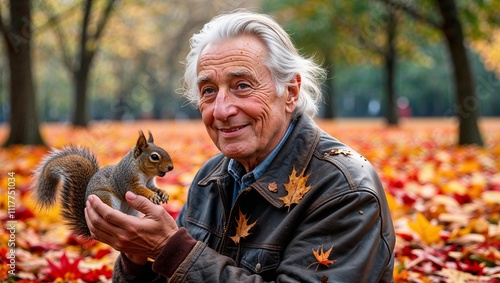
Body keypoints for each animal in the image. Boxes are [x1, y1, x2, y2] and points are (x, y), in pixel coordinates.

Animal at [31, 131, 173, 240]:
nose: (171, 167)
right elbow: (139, 189)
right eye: (154, 157)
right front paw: (152, 195)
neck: (146, 174)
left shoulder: (150, 183)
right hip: (105, 197)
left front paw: (163, 193)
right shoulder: (127, 180)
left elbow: (155, 188)